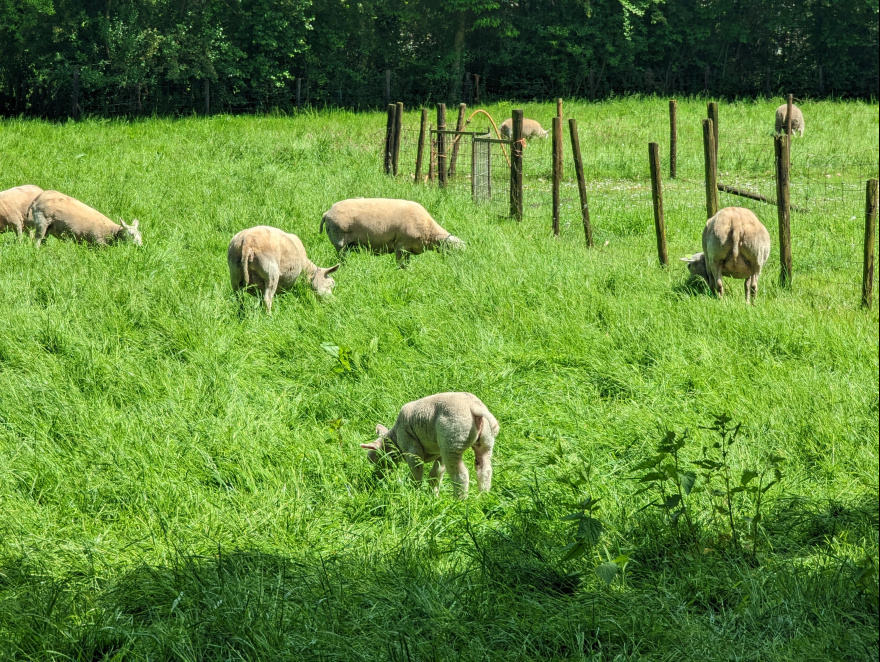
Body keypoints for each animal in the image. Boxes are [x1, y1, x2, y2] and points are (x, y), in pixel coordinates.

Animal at [362, 394, 502, 498]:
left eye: (376, 460)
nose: (376, 478)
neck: (395, 438)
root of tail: (473, 406)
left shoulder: (412, 448)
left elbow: (417, 472)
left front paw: (414, 492)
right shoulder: (440, 452)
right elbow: (435, 473)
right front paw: (432, 495)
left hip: (452, 441)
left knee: (460, 475)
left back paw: (459, 500)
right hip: (483, 441)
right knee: (485, 469)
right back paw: (482, 496)